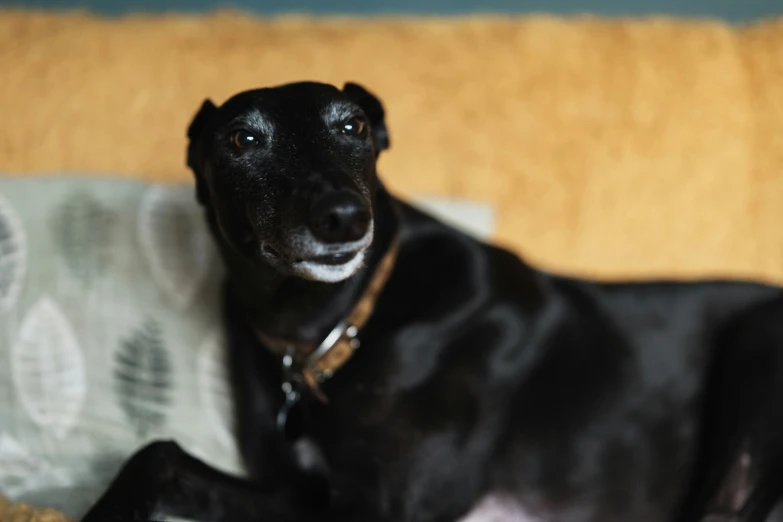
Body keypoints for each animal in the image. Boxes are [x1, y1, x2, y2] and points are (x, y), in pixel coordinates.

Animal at [79, 81, 783, 520]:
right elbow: (160, 454)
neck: (326, 328)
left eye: (354, 125)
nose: (343, 218)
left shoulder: (388, 506)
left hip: (758, 344)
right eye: (242, 140)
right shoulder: (300, 496)